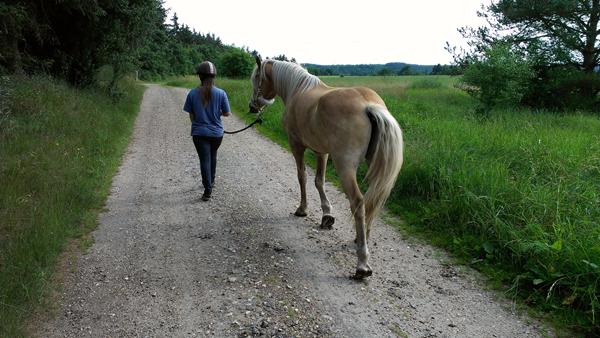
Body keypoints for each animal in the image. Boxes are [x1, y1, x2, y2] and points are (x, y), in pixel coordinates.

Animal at [246, 55, 406, 278]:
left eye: (256, 78)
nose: (252, 107)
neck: (298, 90)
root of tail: (368, 105)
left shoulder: (297, 145)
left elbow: (302, 176)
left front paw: (303, 209)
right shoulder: (322, 152)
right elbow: (319, 181)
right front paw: (327, 215)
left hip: (345, 166)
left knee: (358, 202)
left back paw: (362, 263)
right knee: (372, 201)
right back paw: (361, 239)